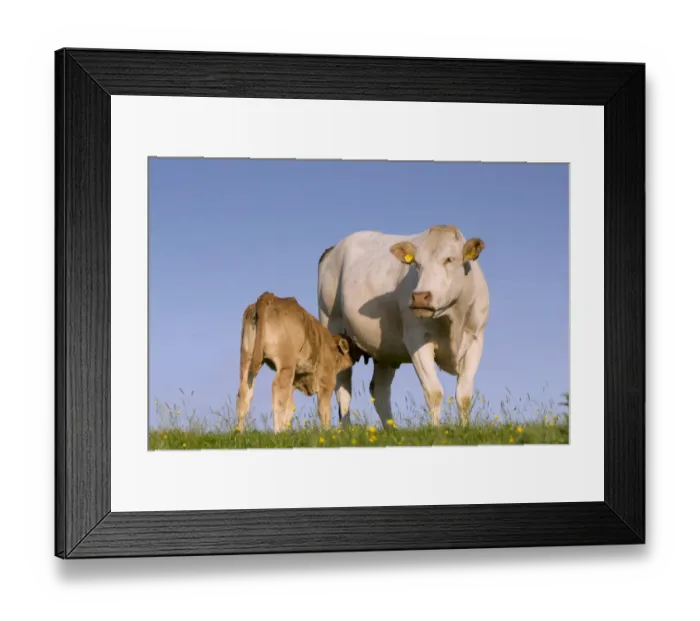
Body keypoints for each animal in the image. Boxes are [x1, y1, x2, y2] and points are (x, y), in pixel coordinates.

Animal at [235, 291, 364, 433]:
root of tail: (269, 296)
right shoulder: (326, 384)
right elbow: (324, 411)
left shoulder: (294, 383)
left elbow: (290, 408)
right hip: (285, 365)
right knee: (277, 392)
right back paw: (277, 433)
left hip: (246, 359)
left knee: (244, 393)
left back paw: (240, 433)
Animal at [317, 224, 489, 429]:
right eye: (417, 264)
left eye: (449, 259)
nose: (420, 296)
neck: (453, 319)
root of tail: (333, 249)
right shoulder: (417, 339)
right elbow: (434, 391)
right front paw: (436, 430)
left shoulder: (476, 339)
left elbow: (464, 395)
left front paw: (464, 429)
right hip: (333, 328)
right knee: (341, 388)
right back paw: (342, 430)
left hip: (385, 349)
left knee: (379, 390)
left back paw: (391, 430)